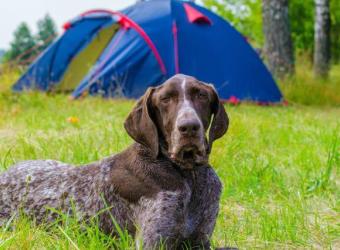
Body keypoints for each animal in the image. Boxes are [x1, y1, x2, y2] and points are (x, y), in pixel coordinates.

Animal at [0, 73, 230, 248]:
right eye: (165, 99)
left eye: (201, 95)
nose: (189, 127)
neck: (189, 176)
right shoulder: (153, 242)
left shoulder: (201, 240)